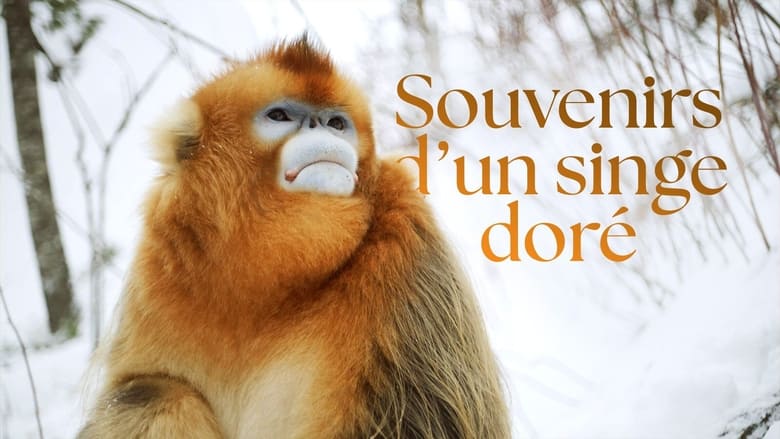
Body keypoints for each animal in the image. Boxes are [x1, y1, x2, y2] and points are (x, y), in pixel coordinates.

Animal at [79, 36, 510, 439]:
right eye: (280, 116)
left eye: (336, 123)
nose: (322, 128)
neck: (268, 292)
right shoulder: (155, 272)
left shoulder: (409, 248)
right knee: (153, 395)